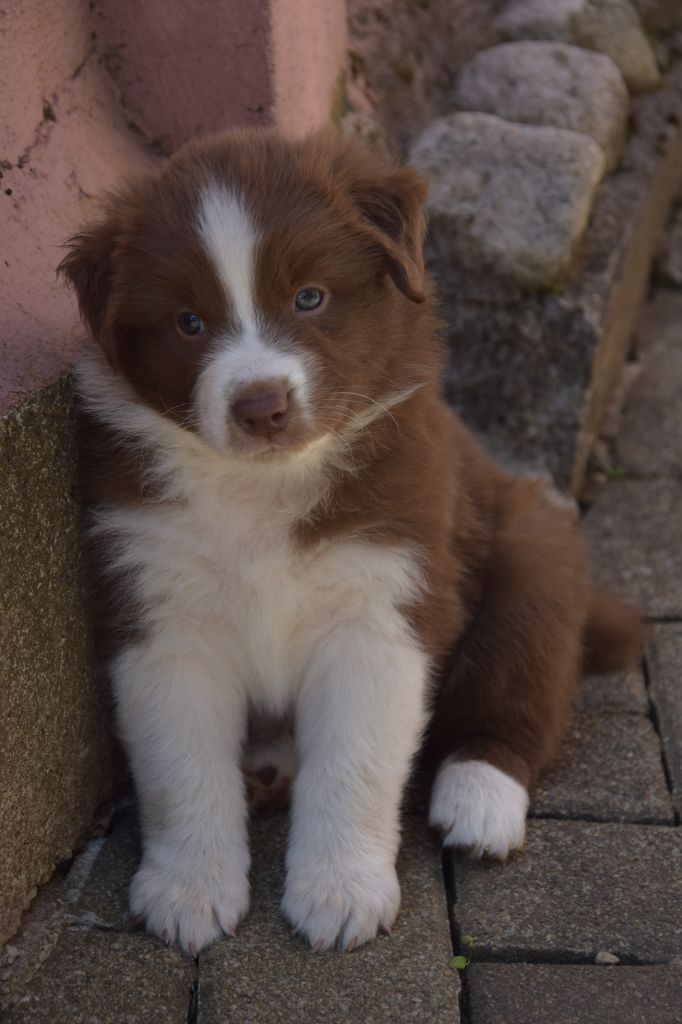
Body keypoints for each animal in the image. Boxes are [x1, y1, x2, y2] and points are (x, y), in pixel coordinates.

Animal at [59, 128, 644, 955]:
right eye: (188, 323)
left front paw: (340, 891)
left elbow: (355, 766)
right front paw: (190, 889)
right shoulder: (159, 615)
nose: (261, 406)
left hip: (534, 555)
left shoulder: (383, 608)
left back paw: (479, 796)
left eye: (310, 297)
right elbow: (181, 767)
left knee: (521, 692)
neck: (263, 488)